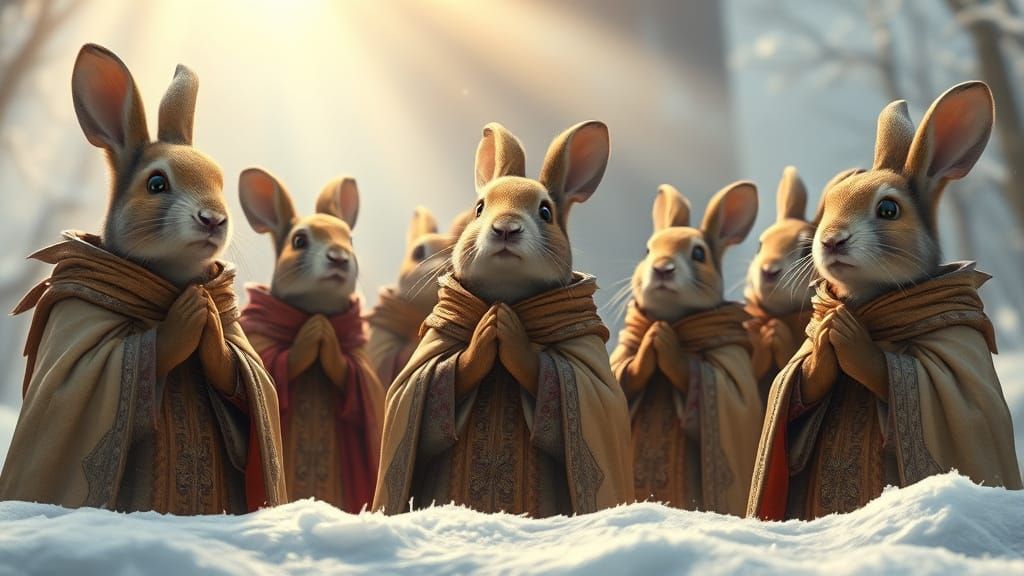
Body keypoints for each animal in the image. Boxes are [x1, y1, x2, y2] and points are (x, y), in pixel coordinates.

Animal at [0, 43, 286, 514]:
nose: (214, 219)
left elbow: (243, 377)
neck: (166, 280)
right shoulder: (76, 323)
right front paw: (189, 315)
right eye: (156, 184)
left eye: (219, 181)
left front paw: (207, 319)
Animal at [238, 168, 384, 512]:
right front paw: (313, 333)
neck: (315, 307)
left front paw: (324, 335)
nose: (339, 258)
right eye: (299, 241)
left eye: (349, 239)